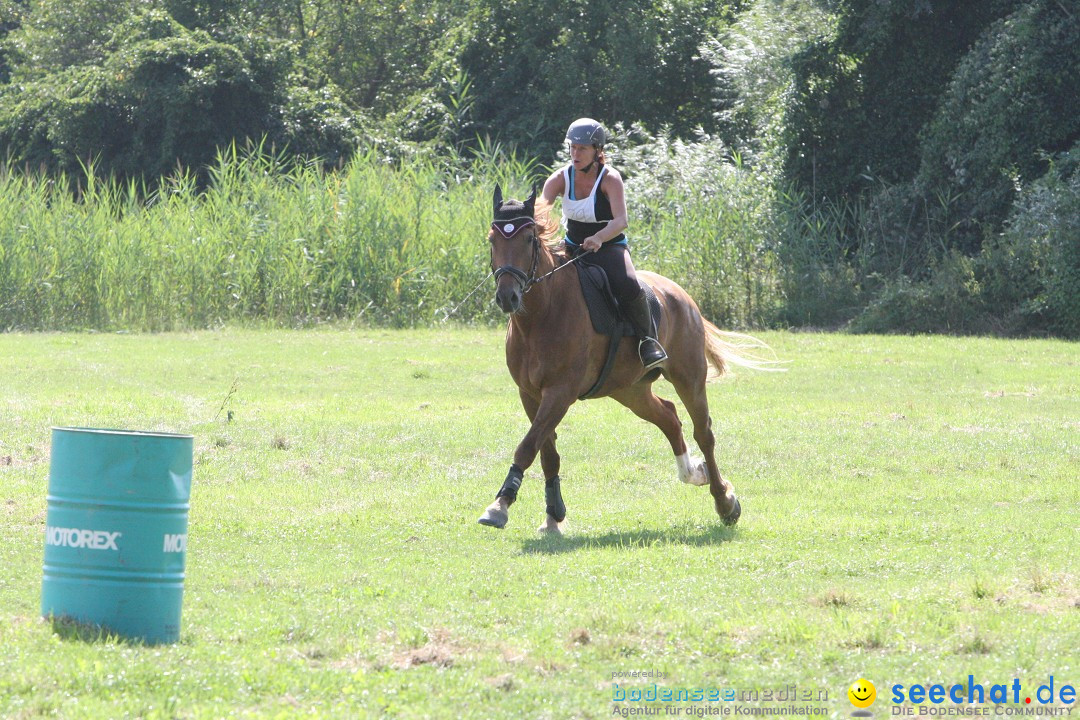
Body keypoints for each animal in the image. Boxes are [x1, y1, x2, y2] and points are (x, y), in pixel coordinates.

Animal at [477, 184, 773, 535]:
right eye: (492, 240)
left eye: (527, 239)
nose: (507, 297)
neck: (541, 314)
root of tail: (681, 294)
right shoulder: (531, 393)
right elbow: (545, 451)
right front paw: (553, 516)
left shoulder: (560, 392)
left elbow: (528, 445)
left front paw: (500, 505)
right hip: (629, 389)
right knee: (669, 417)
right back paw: (692, 473)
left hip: (688, 377)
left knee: (704, 433)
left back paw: (724, 502)